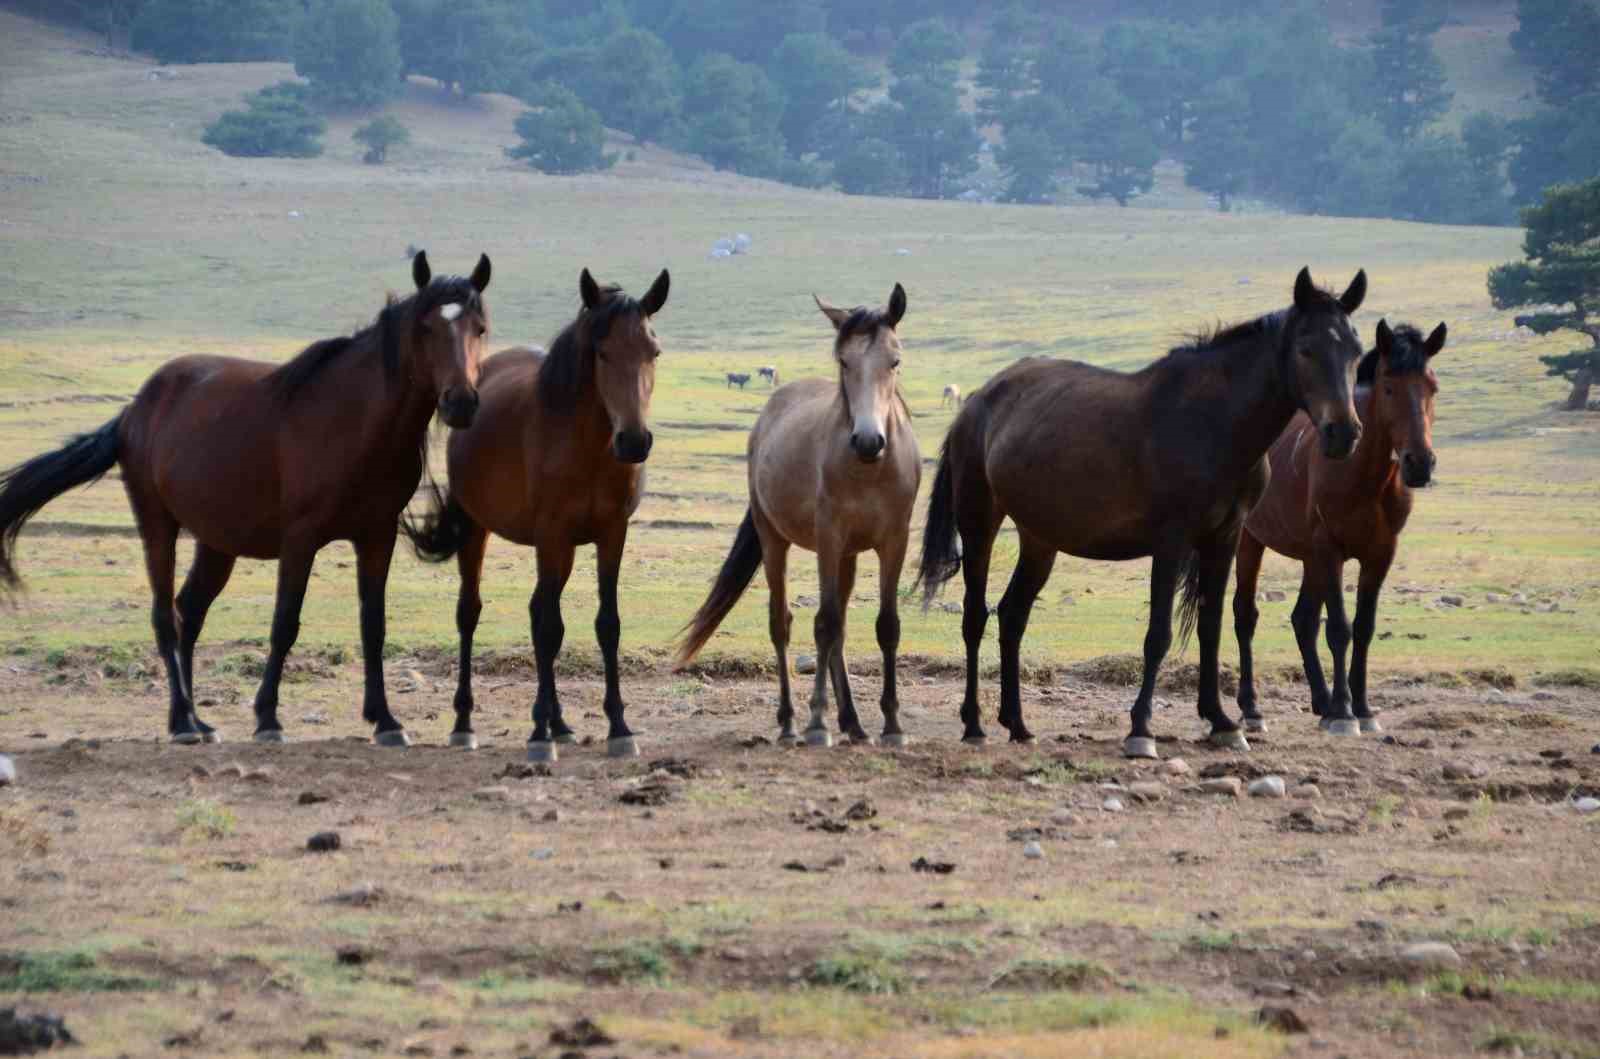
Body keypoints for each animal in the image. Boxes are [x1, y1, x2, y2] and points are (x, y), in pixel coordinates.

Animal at [0, 251, 489, 745]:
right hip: (157, 526)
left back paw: (198, 720)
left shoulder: (376, 534)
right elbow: (285, 623)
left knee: (189, 612)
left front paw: (386, 721)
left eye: (480, 328)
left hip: (217, 544)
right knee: (164, 617)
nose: (460, 403)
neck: (356, 421)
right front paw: (267, 717)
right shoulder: (301, 538)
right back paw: (182, 722)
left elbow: (373, 625)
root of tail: (133, 412)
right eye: (426, 328)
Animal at [406, 265, 675, 764]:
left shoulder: (612, 534)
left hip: (563, 550)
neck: (590, 448)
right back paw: (466, 724)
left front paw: (618, 727)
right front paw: (538, 738)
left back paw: (559, 723)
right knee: (471, 613)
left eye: (654, 351)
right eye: (602, 352)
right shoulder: (550, 535)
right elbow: (549, 627)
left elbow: (605, 624)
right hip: (480, 530)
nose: (634, 441)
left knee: (539, 611)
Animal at [678, 281, 928, 745]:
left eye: (895, 360)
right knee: (784, 623)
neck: (870, 469)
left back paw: (853, 722)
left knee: (839, 629)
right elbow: (823, 623)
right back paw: (792, 721)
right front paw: (816, 722)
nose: (868, 440)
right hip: (774, 539)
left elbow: (885, 626)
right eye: (844, 361)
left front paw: (892, 724)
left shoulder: (894, 541)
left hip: (848, 555)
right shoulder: (828, 538)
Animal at [921, 270, 1369, 758]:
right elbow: (1158, 635)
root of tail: (977, 403)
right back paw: (974, 724)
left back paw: (1018, 723)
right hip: (979, 522)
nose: (1344, 433)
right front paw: (1141, 730)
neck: (1213, 424)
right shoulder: (1170, 542)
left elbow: (1211, 627)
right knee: (975, 617)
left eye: (1355, 350)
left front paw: (1221, 721)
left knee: (1012, 616)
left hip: (1039, 540)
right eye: (1306, 349)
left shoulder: (1224, 538)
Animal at [1235, 319, 1452, 742]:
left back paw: (1321, 701)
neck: (1362, 474)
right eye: (1389, 386)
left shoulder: (1380, 554)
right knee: (1245, 616)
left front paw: (1362, 708)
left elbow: (1364, 628)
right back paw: (1252, 709)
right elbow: (1339, 629)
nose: (1419, 463)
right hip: (1251, 542)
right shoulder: (1330, 549)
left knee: (1302, 620)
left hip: (1309, 558)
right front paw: (1343, 714)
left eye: (1432, 386)